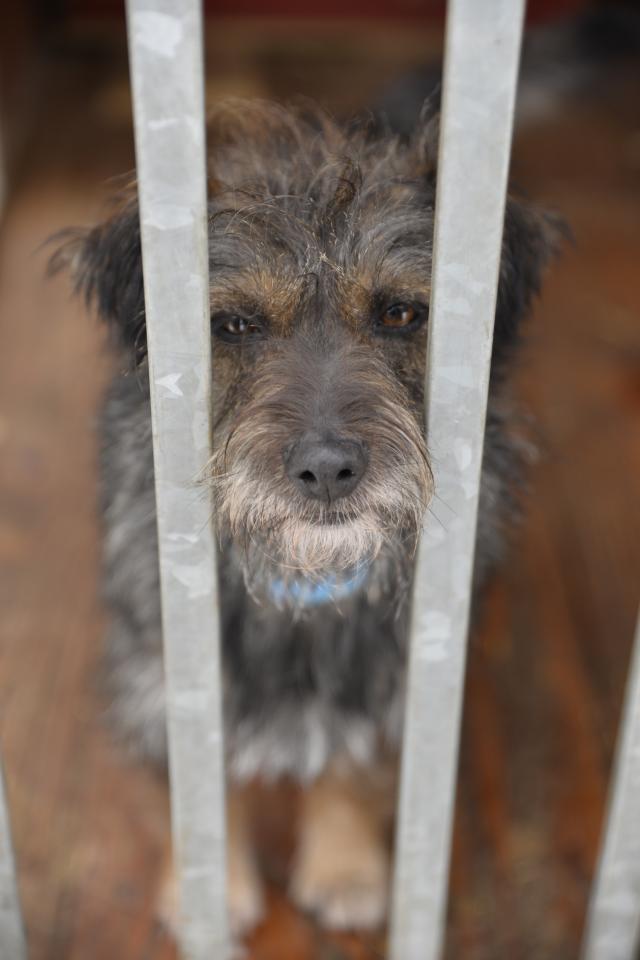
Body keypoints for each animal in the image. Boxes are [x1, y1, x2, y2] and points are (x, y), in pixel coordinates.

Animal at [56, 99, 557, 938]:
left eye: (400, 312)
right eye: (233, 326)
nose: (327, 470)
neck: (303, 580)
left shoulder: (397, 678)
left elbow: (353, 765)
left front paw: (346, 867)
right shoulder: (160, 679)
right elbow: (194, 786)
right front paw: (208, 886)